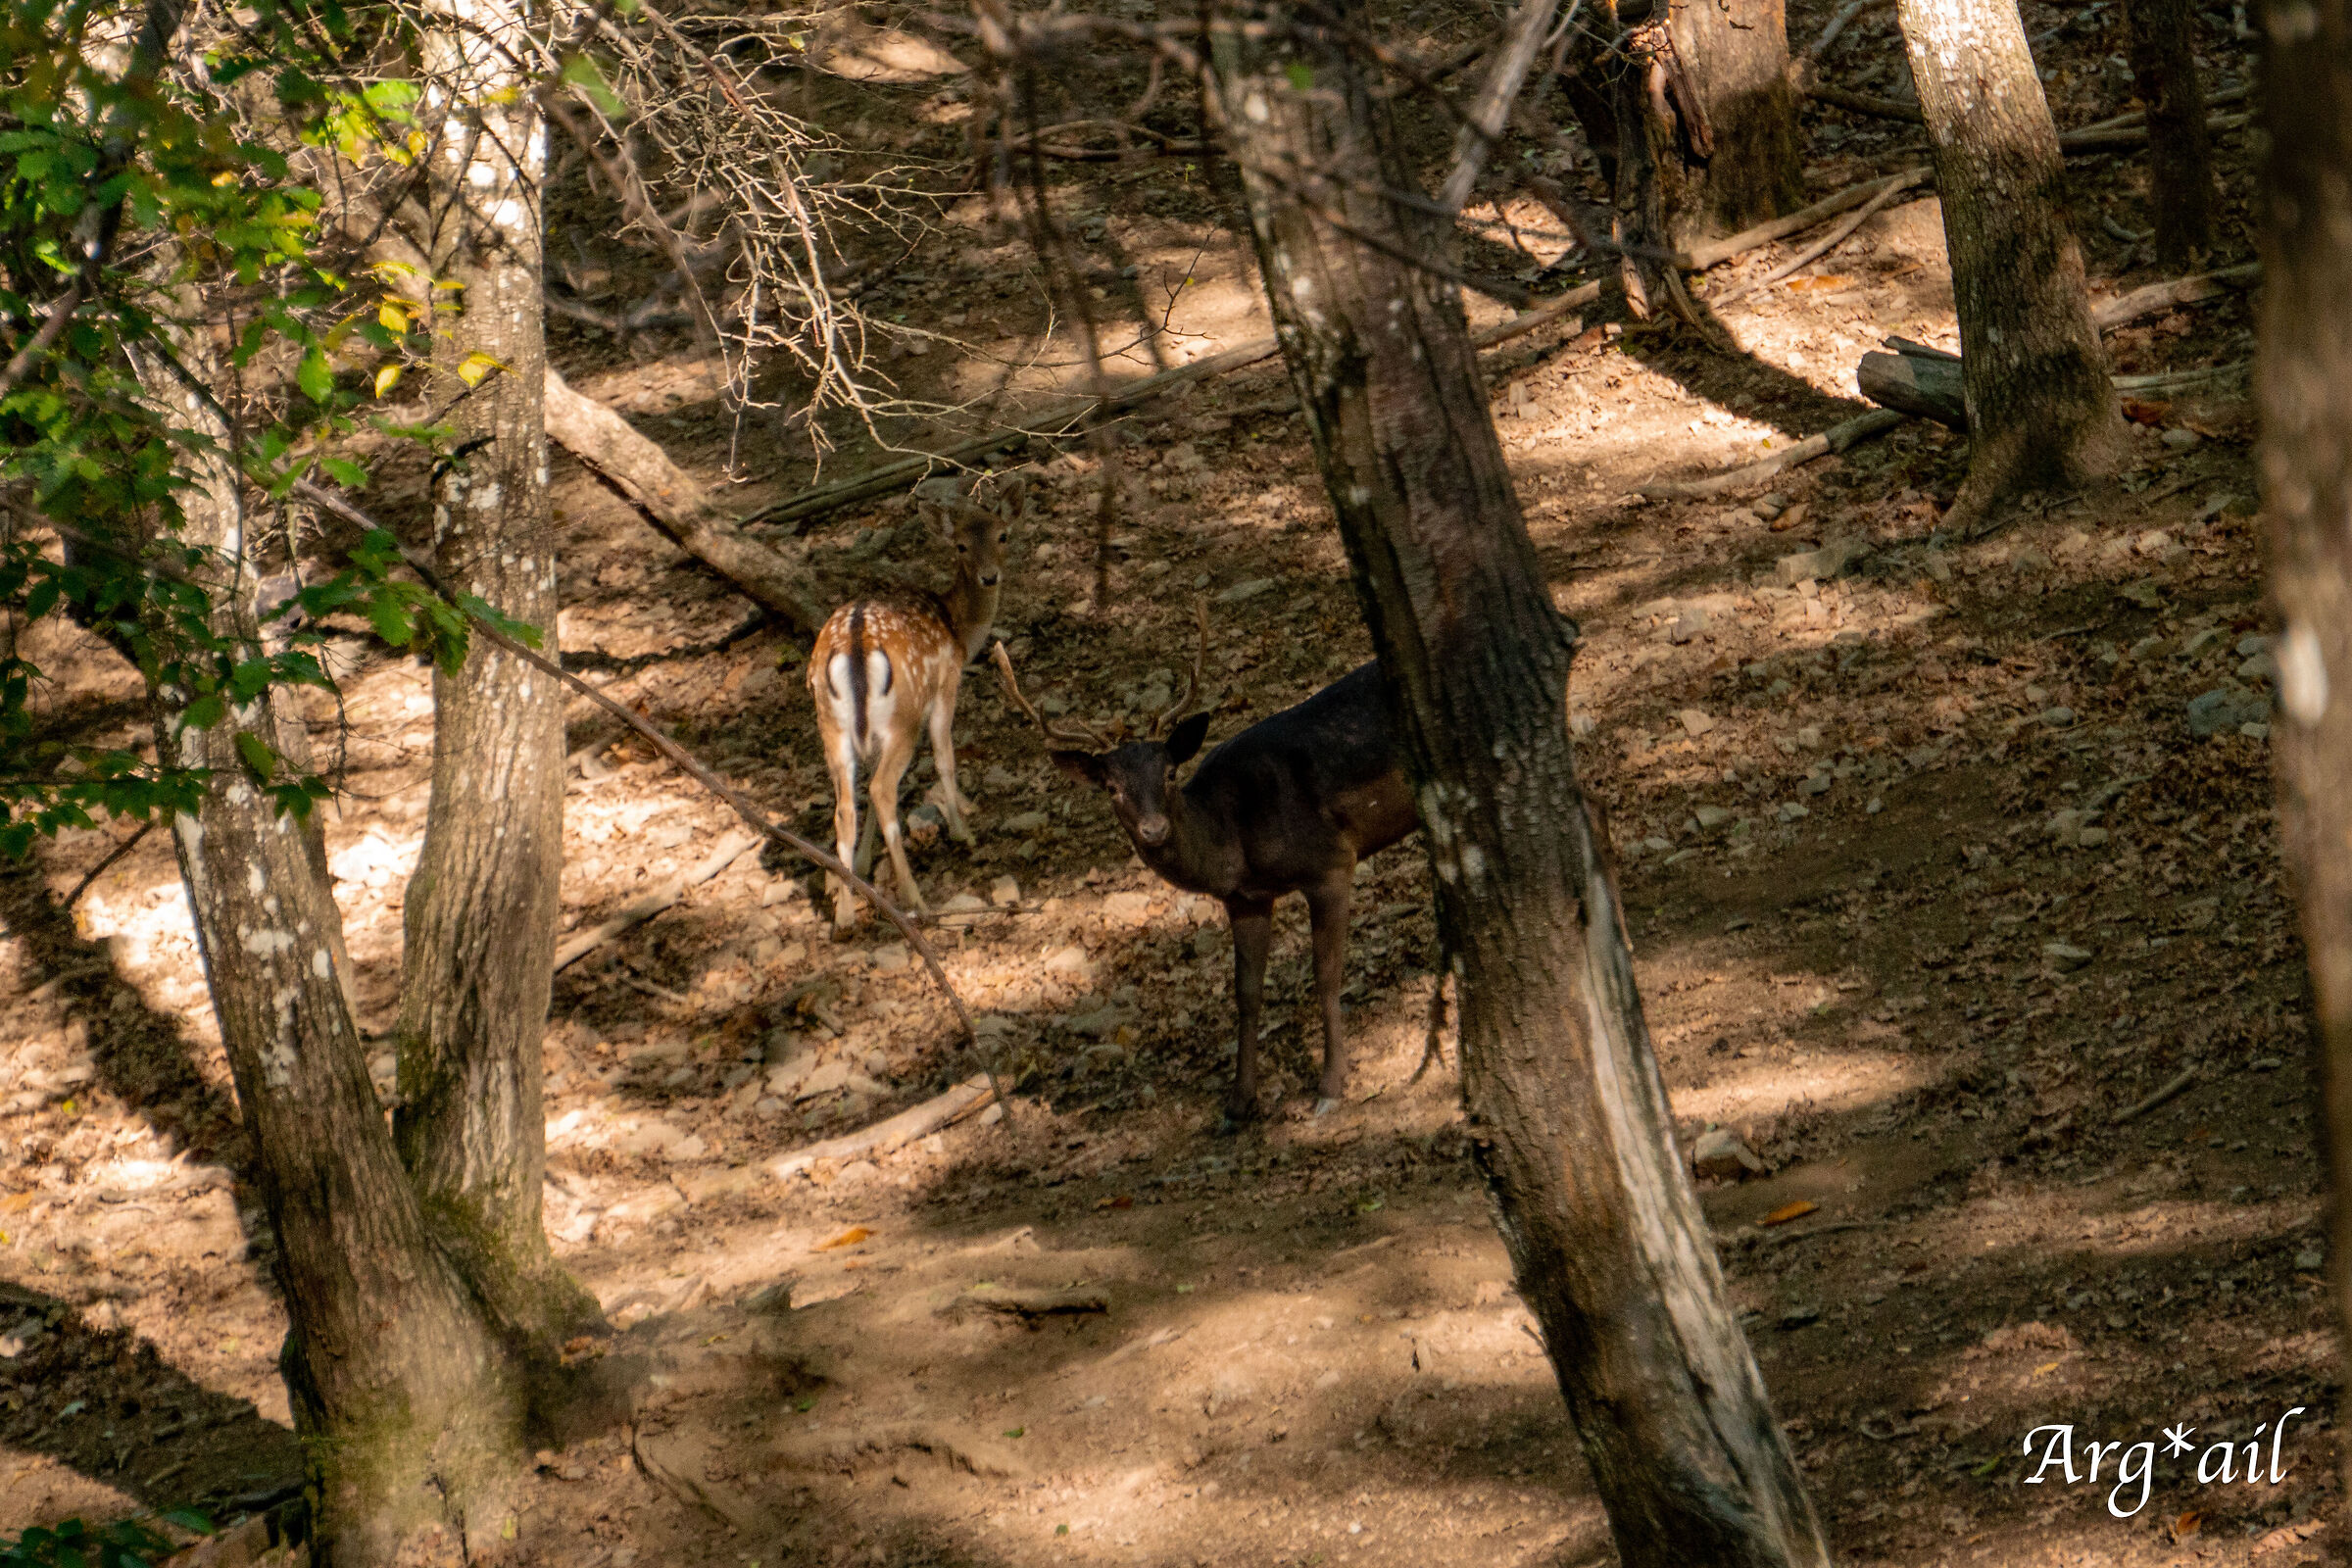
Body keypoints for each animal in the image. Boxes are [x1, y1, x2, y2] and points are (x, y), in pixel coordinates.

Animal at [809, 478, 1021, 934]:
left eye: (1002, 536)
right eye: (960, 545)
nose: (989, 576)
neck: (960, 629)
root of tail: (854, 644)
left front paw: (864, 864)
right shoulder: (946, 685)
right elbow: (945, 758)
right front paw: (963, 832)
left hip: (832, 726)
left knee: (847, 805)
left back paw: (846, 914)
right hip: (901, 720)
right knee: (882, 789)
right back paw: (916, 900)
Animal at [994, 605, 1425, 1124]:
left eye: (1169, 772)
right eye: (1111, 788)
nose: (1154, 829)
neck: (1234, 843)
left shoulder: (1330, 862)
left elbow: (1326, 974)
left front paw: (1331, 1086)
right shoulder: (1246, 899)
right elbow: (1246, 992)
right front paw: (1239, 1103)